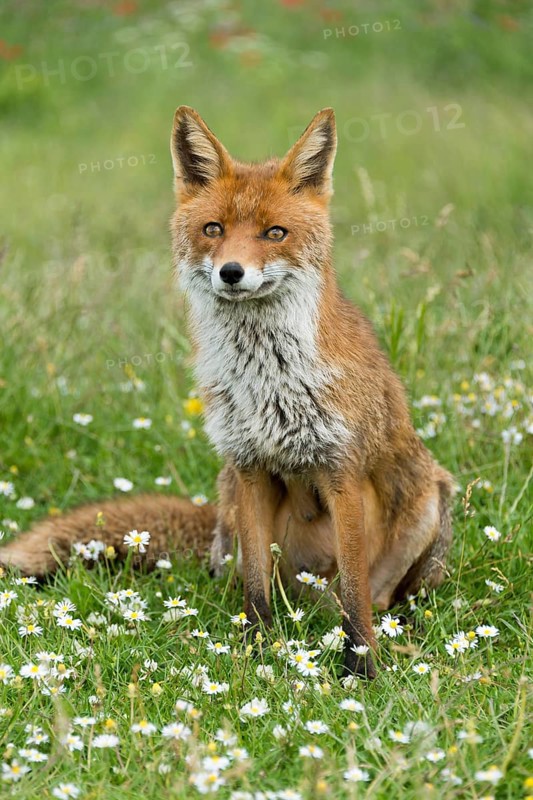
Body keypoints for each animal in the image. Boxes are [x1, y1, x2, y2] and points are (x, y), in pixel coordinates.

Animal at [0, 107, 455, 678]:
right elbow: (256, 590)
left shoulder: (341, 473)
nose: (231, 272)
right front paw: (256, 655)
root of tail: (310, 601)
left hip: (429, 503)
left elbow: (355, 597)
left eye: (274, 233)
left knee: (374, 599)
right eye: (213, 229)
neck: (269, 381)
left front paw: (361, 671)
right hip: (232, 506)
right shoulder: (250, 469)